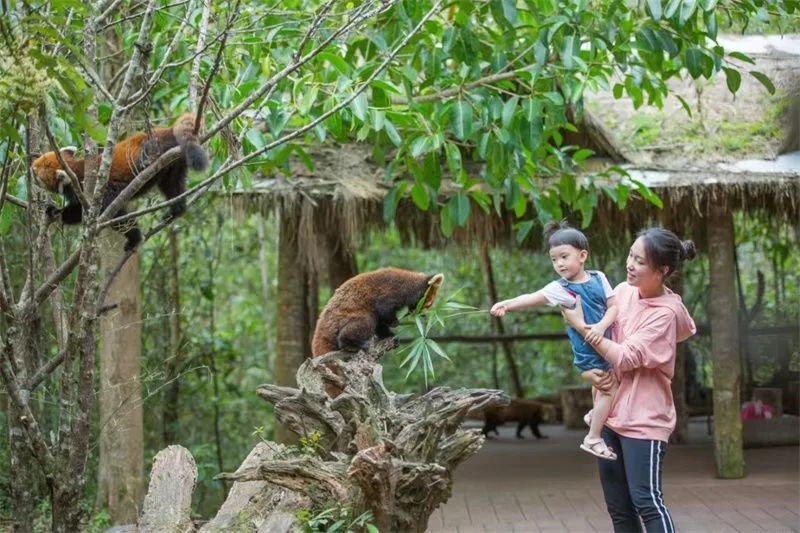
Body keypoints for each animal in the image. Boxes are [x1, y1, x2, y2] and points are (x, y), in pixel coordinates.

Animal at [31, 113, 209, 250]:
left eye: (38, 171)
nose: (31, 168)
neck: (75, 171)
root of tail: (167, 130)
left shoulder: (97, 190)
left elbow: (116, 216)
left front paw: (134, 238)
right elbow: (77, 212)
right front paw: (55, 211)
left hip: (153, 148)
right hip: (175, 165)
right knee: (173, 186)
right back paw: (176, 209)